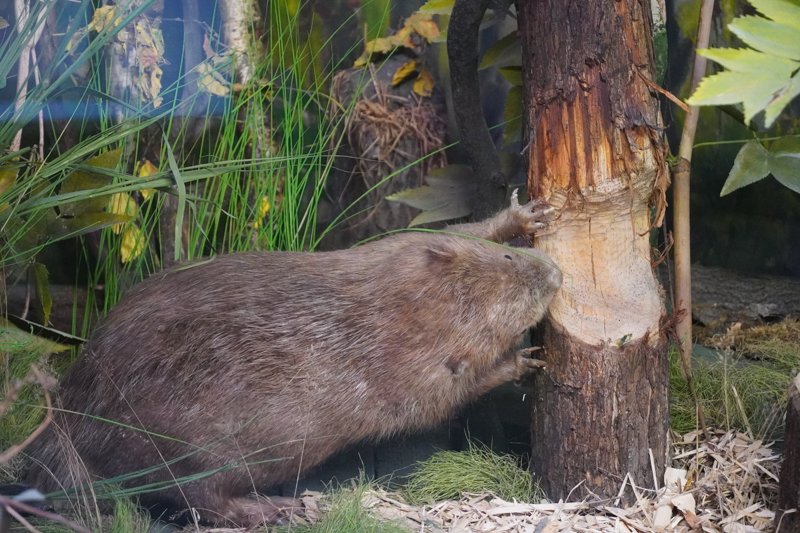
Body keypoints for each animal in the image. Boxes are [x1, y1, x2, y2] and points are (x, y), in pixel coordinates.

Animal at [26, 190, 564, 524]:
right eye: (513, 275)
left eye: (509, 259)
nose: (555, 274)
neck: (399, 309)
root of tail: (67, 417)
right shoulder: (414, 377)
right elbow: (452, 393)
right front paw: (525, 361)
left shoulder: (392, 255)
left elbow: (454, 229)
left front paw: (524, 216)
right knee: (194, 497)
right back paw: (272, 508)